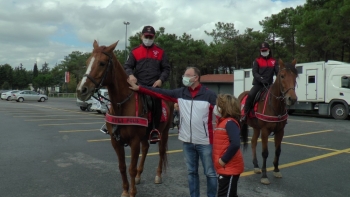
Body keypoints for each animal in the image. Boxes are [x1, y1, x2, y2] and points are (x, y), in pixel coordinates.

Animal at [77, 40, 174, 197]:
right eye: (87, 62)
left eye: (102, 63)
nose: (81, 90)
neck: (122, 106)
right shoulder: (116, 142)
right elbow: (122, 167)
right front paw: (125, 190)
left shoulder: (134, 141)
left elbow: (131, 168)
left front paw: (132, 192)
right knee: (146, 148)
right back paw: (140, 176)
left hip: (163, 133)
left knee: (160, 152)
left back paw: (158, 175)